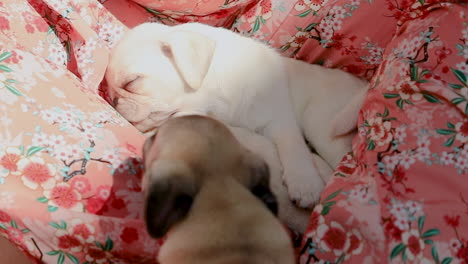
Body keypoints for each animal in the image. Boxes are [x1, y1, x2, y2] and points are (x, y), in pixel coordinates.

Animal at [106, 22, 370, 208]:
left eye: (132, 82)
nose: (114, 100)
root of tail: (364, 86)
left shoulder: (279, 119)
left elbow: (293, 146)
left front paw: (305, 183)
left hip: (323, 129)